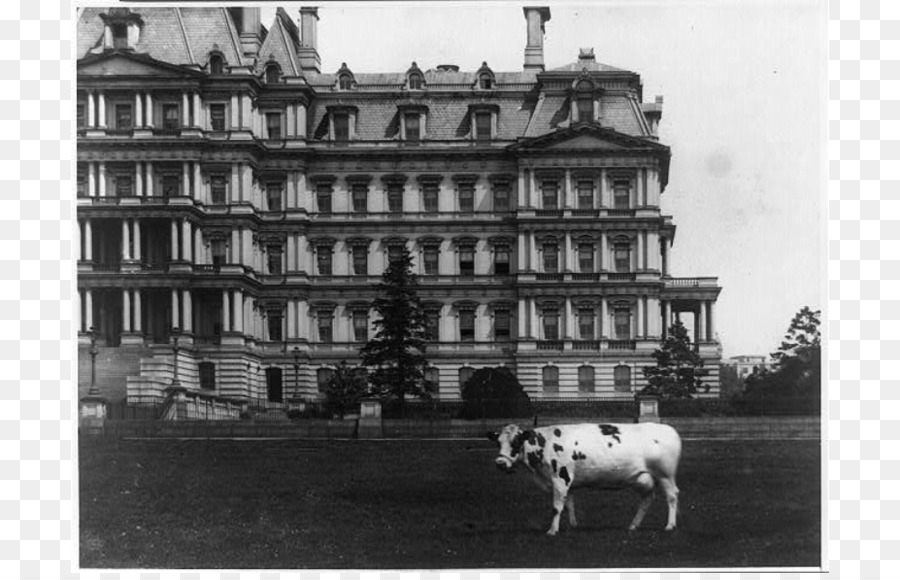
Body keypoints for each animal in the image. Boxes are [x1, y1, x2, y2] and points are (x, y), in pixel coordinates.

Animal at [488, 420, 680, 536]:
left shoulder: (560, 478)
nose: (500, 463)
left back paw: (670, 525)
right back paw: (633, 525)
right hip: (643, 479)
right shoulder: (568, 482)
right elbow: (569, 505)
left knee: (672, 496)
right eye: (498, 442)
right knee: (647, 499)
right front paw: (572, 525)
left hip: (665, 475)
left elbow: (556, 507)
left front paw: (552, 530)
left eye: (516, 442)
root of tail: (668, 429)